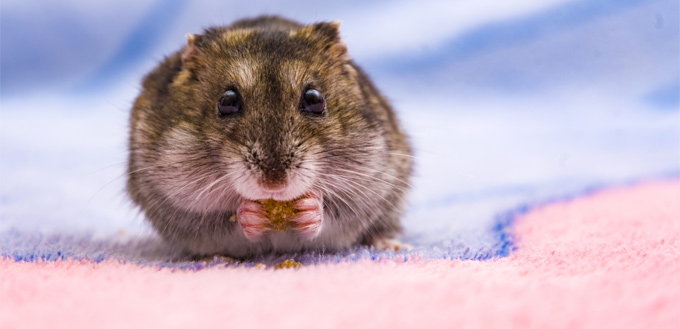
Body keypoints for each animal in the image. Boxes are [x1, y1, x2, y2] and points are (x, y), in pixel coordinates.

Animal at [127, 15, 414, 258]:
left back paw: (391, 244)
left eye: (315, 99)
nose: (274, 186)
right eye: (227, 101)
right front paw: (250, 212)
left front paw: (310, 208)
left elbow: (333, 214)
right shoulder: (181, 203)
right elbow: (228, 220)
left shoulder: (367, 188)